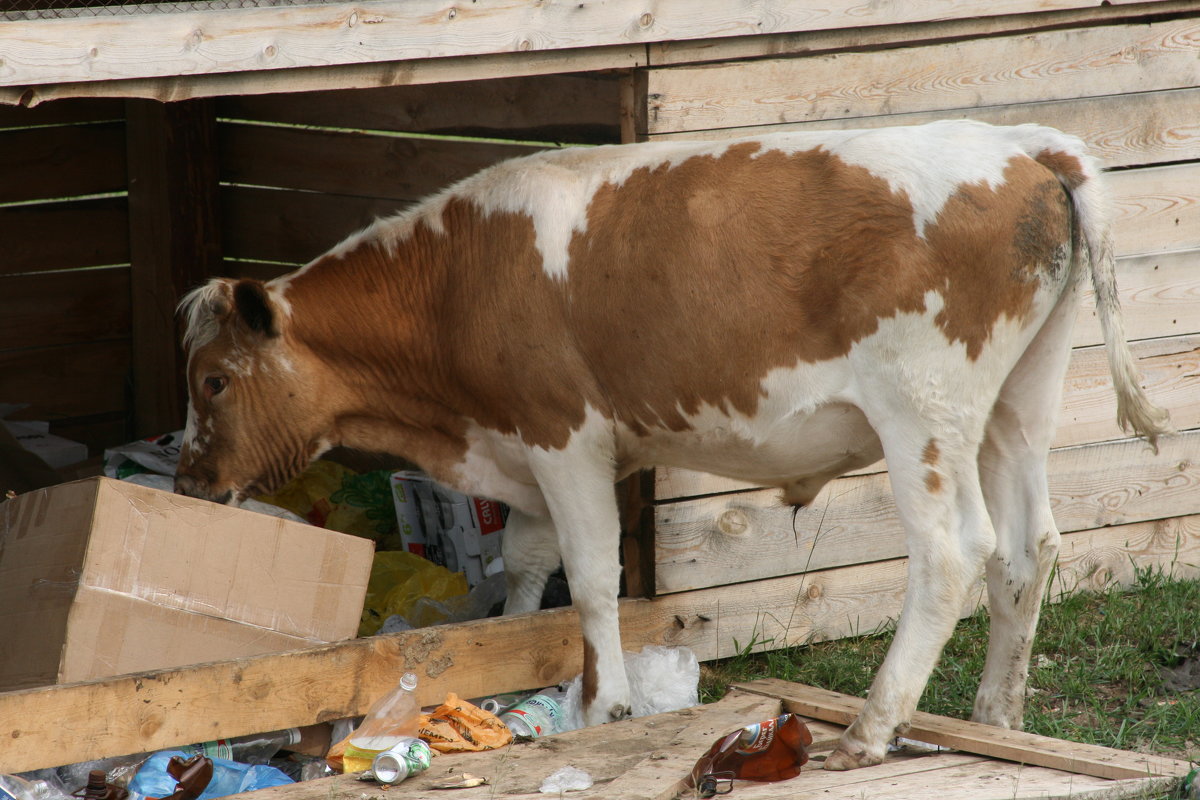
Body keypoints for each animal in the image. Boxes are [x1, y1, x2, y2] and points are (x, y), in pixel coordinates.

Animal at [174, 120, 1166, 767]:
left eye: (212, 380)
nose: (186, 482)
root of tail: (1024, 145)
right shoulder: (523, 446)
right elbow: (527, 564)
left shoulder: (564, 433)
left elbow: (592, 576)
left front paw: (602, 701)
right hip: (1014, 406)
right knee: (1029, 550)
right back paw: (996, 717)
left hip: (921, 409)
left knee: (954, 553)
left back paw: (872, 729)